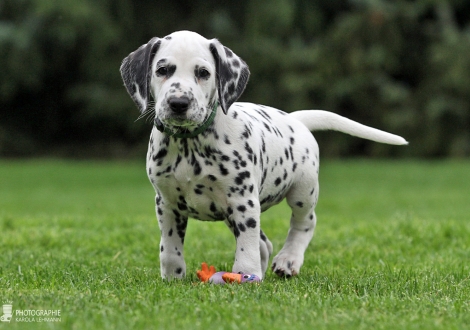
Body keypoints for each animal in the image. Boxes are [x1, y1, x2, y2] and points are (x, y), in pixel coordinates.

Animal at [121, 31, 408, 280]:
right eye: (162, 70)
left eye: (203, 73)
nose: (178, 103)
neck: (190, 145)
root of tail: (295, 119)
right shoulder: (167, 204)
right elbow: (170, 247)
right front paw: (173, 277)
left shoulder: (243, 201)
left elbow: (246, 245)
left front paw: (246, 274)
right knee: (264, 243)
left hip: (302, 192)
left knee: (304, 223)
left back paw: (288, 260)